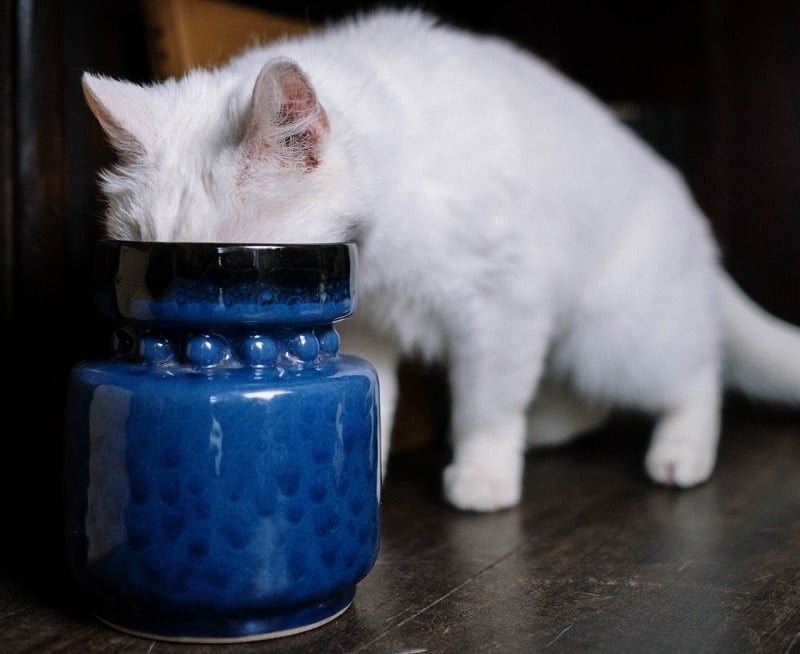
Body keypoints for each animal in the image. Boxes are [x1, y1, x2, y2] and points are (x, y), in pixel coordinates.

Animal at [83, 7, 800, 516]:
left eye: (231, 267)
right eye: (148, 261)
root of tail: (683, 201)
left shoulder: (502, 302)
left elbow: (486, 401)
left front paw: (481, 475)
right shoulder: (367, 326)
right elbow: (382, 402)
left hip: (615, 339)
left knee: (697, 378)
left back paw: (679, 456)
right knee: (589, 398)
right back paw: (545, 431)